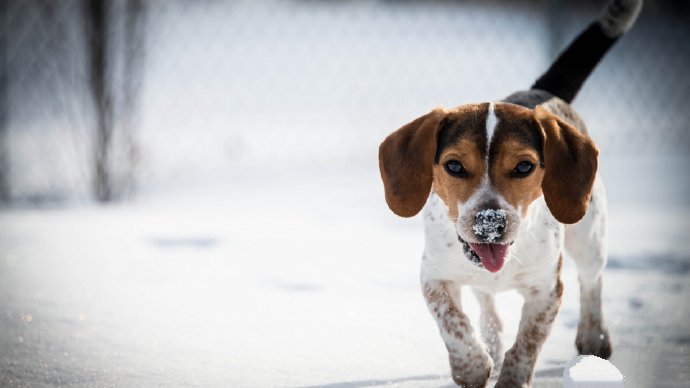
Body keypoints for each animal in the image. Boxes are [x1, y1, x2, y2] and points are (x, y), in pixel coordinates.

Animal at [376, 1, 640, 386]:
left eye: (524, 167)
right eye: (454, 166)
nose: (490, 224)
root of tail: (542, 93)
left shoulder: (547, 289)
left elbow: (527, 343)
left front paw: (511, 375)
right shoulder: (435, 278)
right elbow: (454, 324)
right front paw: (472, 366)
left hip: (590, 235)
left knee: (592, 282)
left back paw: (594, 338)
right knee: (487, 303)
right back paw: (492, 340)